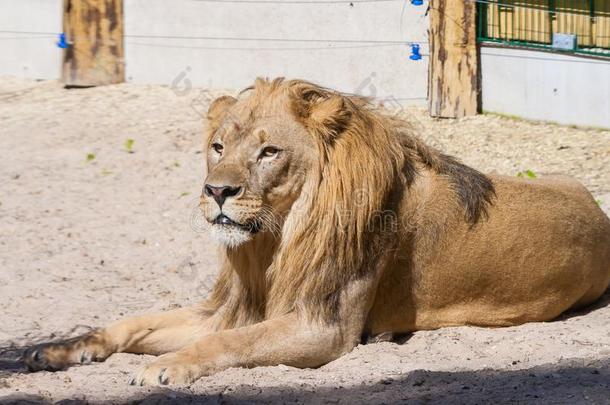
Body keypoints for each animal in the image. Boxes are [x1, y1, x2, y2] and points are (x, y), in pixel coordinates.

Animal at [23, 77, 608, 384]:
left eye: (269, 151)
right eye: (218, 146)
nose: (216, 191)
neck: (273, 239)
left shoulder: (321, 325)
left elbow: (230, 343)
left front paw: (167, 367)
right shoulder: (231, 307)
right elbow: (134, 322)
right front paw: (61, 349)